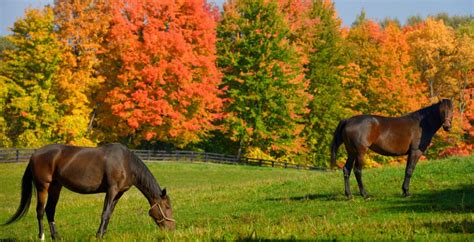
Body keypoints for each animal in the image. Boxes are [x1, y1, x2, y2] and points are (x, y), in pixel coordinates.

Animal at [2, 143, 176, 239]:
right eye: (167, 207)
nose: (171, 229)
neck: (126, 163)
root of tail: (35, 154)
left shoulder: (118, 193)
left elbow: (109, 214)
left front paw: (103, 234)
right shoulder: (111, 190)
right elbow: (104, 213)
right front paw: (98, 236)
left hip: (56, 187)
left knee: (50, 211)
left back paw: (56, 237)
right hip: (43, 186)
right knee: (40, 211)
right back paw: (42, 236)